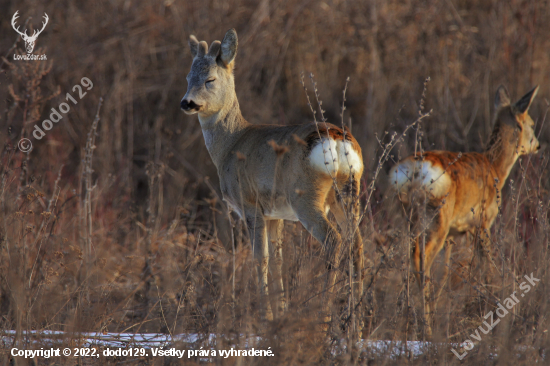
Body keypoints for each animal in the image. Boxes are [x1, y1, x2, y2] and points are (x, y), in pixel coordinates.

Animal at [181, 28, 366, 320]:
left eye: (210, 79)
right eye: (188, 77)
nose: (186, 102)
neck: (230, 144)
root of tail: (337, 139)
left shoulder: (250, 204)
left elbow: (261, 258)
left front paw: (265, 314)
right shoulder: (275, 214)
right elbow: (279, 260)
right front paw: (280, 311)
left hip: (306, 196)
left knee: (333, 240)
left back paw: (325, 313)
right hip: (348, 191)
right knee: (356, 242)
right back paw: (356, 316)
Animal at [392, 85, 544, 334]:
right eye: (531, 123)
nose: (538, 145)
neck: (496, 168)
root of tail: (413, 171)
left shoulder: (454, 234)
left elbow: (446, 270)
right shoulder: (481, 222)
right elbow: (488, 264)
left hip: (410, 217)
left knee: (409, 256)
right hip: (438, 217)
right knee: (421, 258)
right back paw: (426, 324)